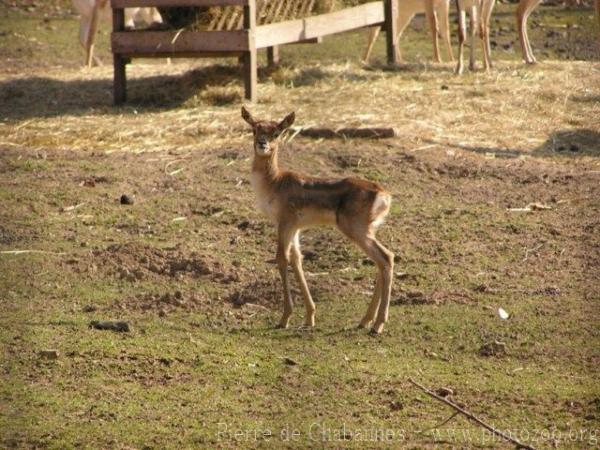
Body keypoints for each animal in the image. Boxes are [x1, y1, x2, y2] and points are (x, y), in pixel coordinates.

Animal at [241, 108, 396, 334]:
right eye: (254, 129)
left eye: (277, 132)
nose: (262, 144)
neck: (275, 182)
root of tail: (383, 194)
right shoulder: (295, 228)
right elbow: (297, 259)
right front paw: (309, 317)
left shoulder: (285, 222)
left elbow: (281, 259)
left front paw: (284, 319)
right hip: (368, 230)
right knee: (382, 261)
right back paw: (365, 320)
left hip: (356, 230)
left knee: (386, 257)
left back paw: (377, 325)